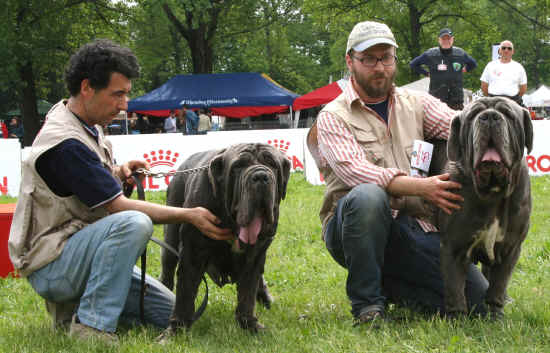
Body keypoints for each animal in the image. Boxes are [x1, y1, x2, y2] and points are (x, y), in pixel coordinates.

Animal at [158, 142, 292, 334]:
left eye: (272, 164)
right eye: (237, 167)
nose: (261, 176)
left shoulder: (255, 255)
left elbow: (248, 291)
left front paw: (249, 324)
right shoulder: (193, 251)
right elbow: (186, 291)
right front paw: (176, 330)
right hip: (171, 235)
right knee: (168, 267)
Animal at [436, 96, 536, 316]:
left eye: (507, 114)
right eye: (473, 115)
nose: (489, 117)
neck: (493, 192)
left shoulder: (510, 247)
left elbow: (498, 285)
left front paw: (495, 315)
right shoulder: (453, 246)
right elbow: (455, 288)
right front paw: (457, 319)